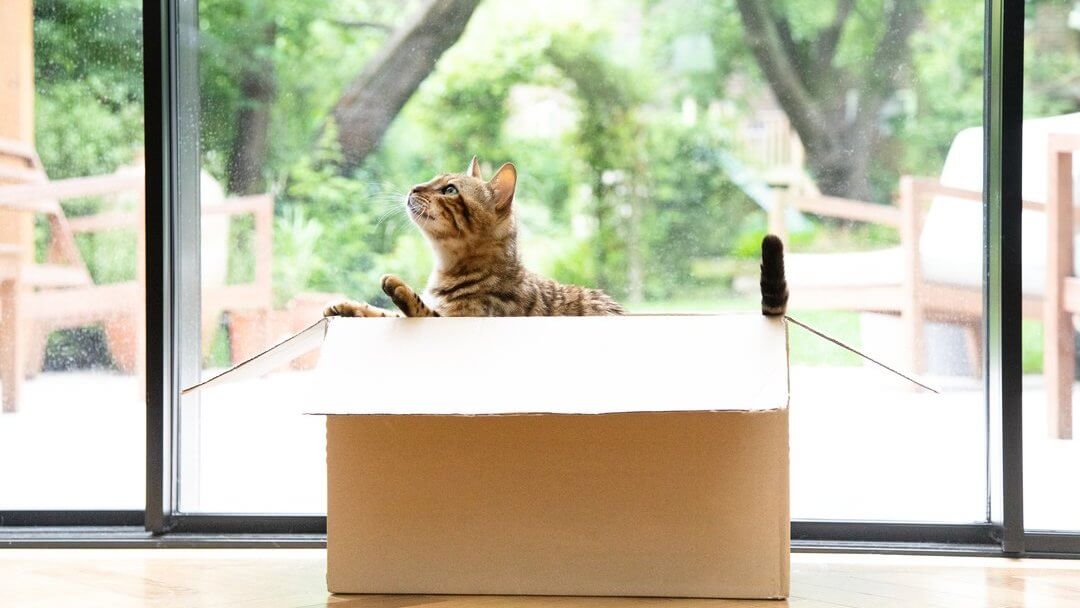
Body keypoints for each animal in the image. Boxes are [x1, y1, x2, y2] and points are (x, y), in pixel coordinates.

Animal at [319, 155, 626, 319]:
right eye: (433, 179)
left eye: (450, 190)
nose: (413, 187)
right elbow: (383, 313)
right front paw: (349, 306)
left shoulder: (458, 318)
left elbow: (420, 309)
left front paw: (401, 289)